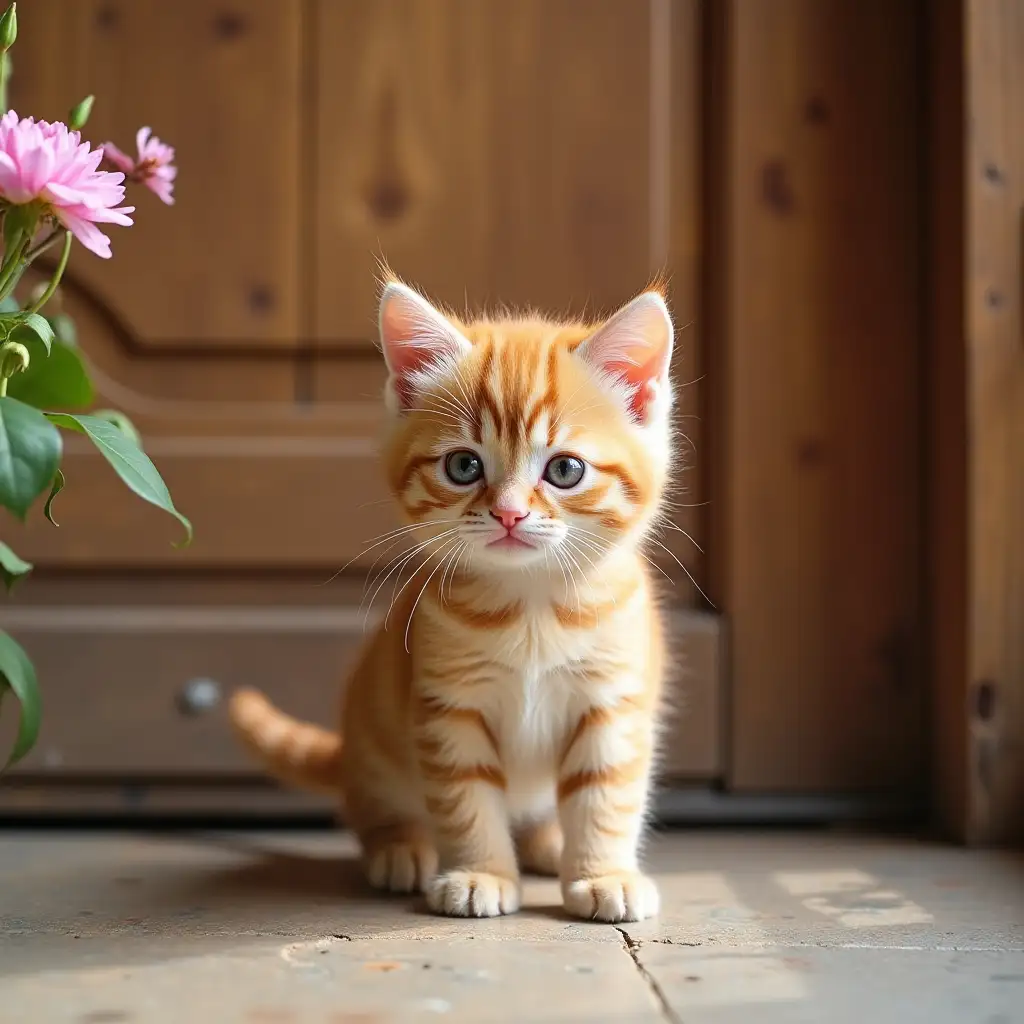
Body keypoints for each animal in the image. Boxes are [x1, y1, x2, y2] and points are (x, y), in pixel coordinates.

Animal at [232, 276, 679, 925]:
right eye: (464, 465)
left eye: (565, 470)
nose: (510, 513)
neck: (532, 607)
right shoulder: (448, 706)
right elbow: (466, 798)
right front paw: (480, 873)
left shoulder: (612, 700)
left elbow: (606, 795)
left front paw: (603, 874)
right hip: (374, 734)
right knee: (375, 805)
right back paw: (399, 848)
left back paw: (548, 843)